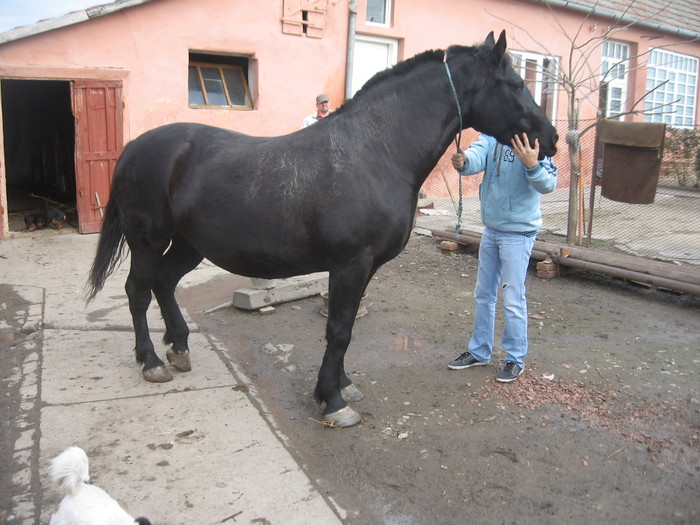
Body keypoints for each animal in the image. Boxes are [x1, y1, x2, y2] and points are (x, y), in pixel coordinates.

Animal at [86, 31, 558, 428]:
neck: (377, 151)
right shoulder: (350, 264)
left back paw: (179, 348)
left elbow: (345, 328)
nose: (550, 139)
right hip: (147, 239)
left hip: (189, 244)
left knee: (165, 283)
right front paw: (332, 400)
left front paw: (343, 385)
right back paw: (151, 361)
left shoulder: (364, 267)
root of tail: (135, 146)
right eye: (515, 84)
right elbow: (339, 329)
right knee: (138, 290)